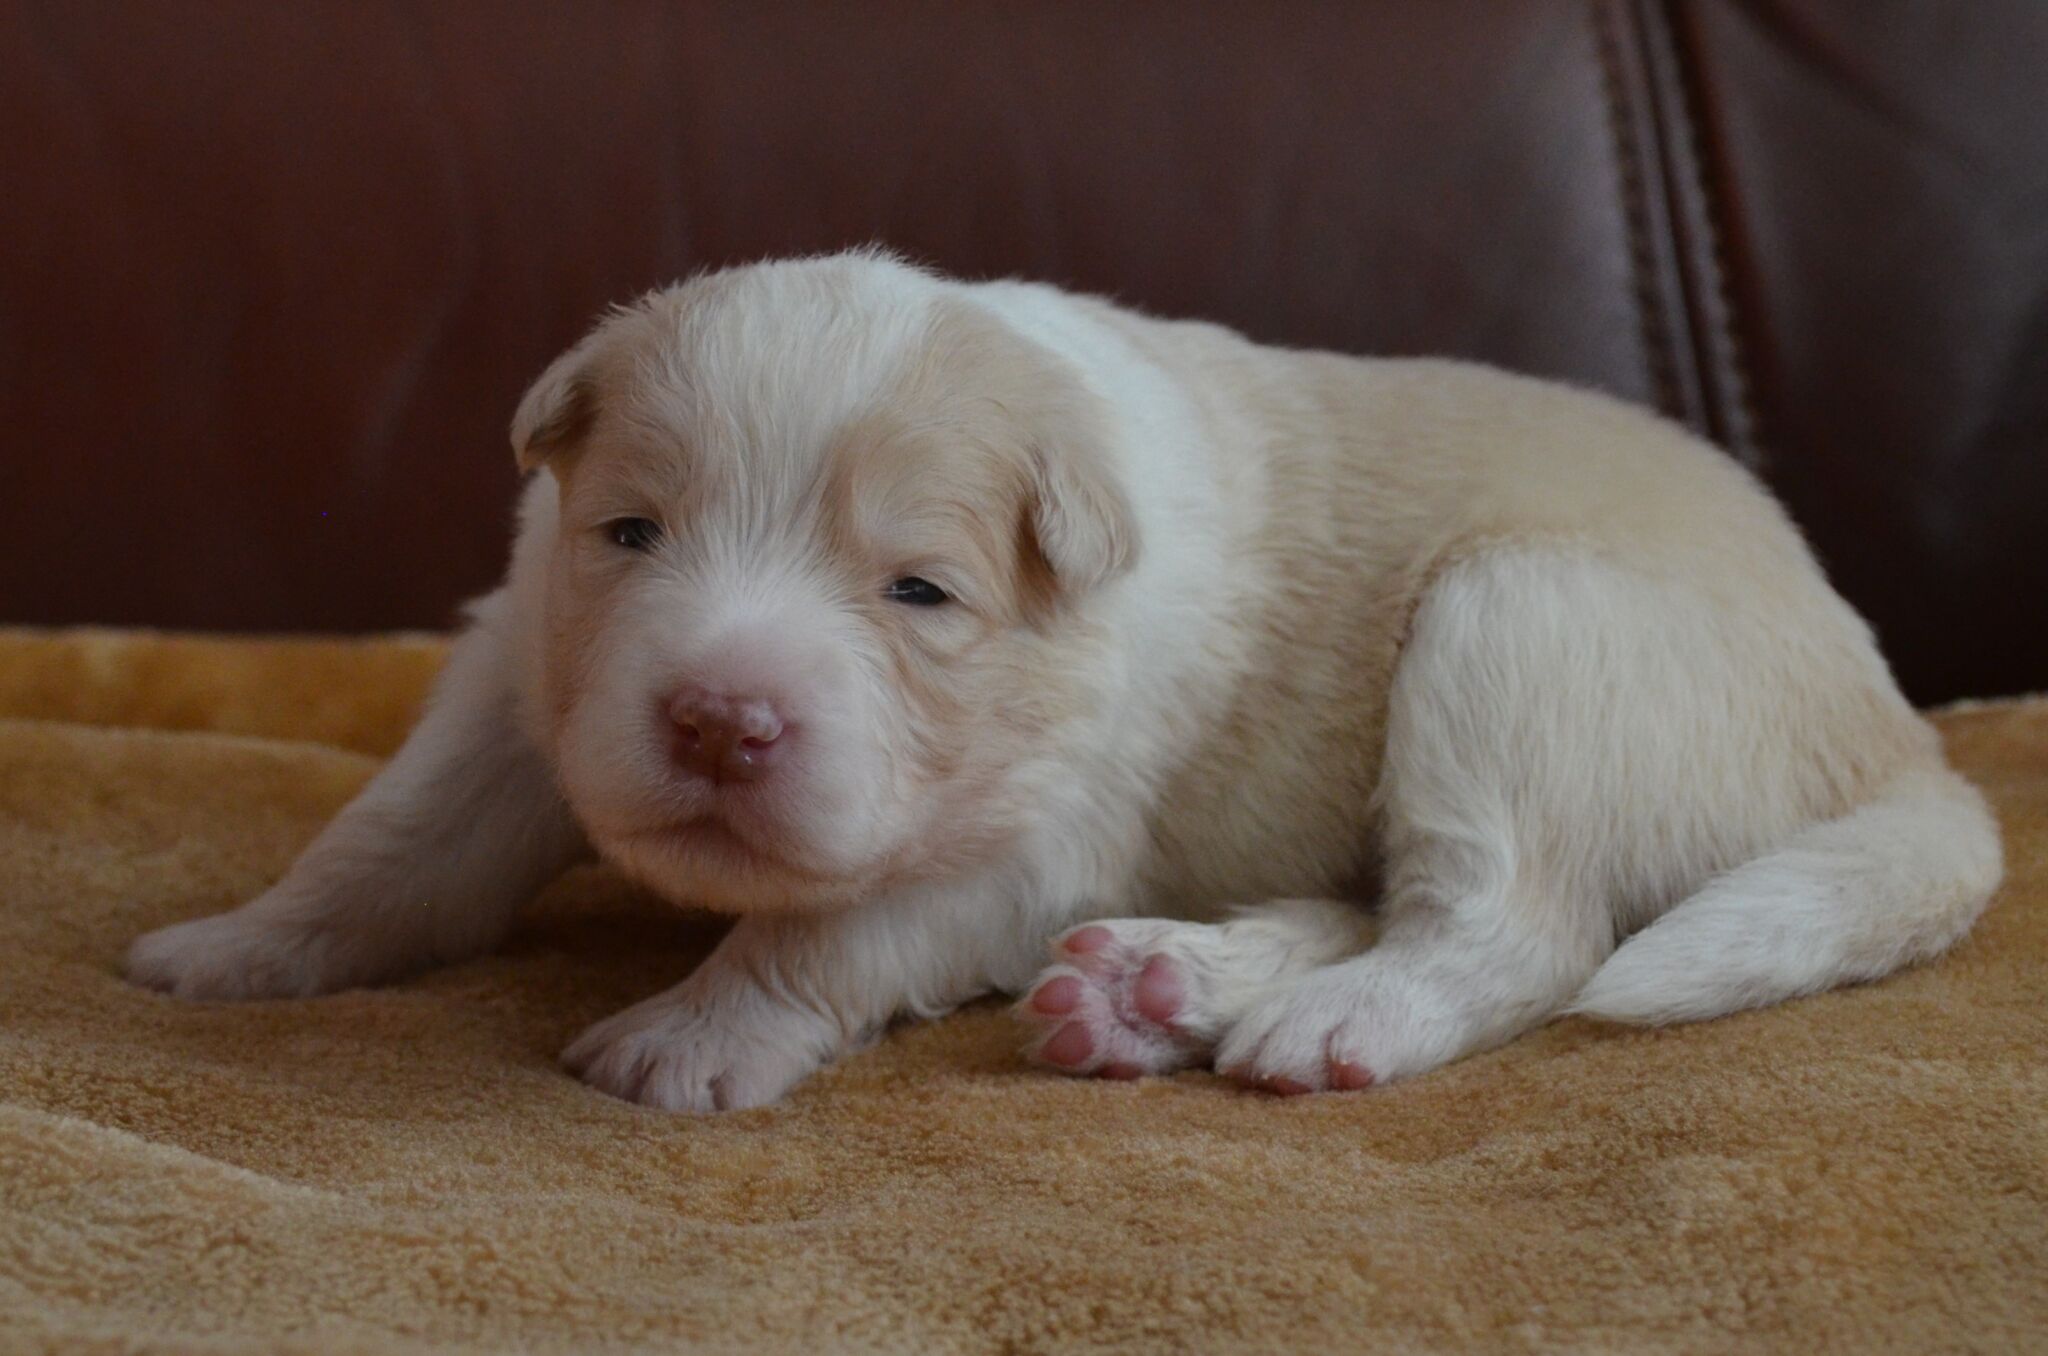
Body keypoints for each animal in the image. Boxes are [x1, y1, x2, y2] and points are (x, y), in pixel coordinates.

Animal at [126, 250, 2004, 1110]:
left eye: (920, 590)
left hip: (1517, 623)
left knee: (1511, 917)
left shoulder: (1029, 838)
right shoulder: (522, 666)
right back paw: (1161, 991)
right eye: (630, 532)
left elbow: (826, 929)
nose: (720, 718)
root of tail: (1902, 746)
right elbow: (396, 836)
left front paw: (694, 1033)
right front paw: (238, 946)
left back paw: (1323, 1017)